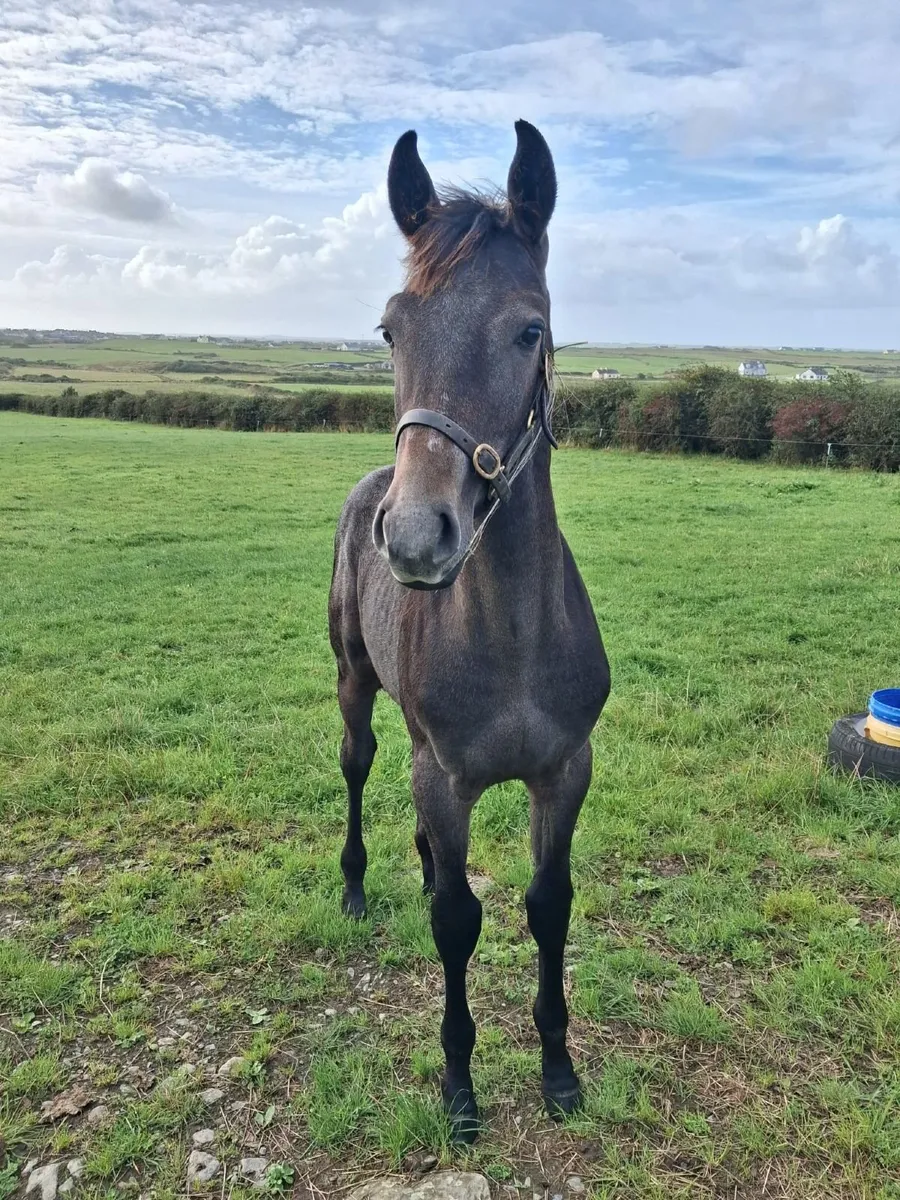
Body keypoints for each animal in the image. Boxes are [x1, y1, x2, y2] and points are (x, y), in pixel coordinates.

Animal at [328, 120, 610, 1141]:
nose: (416, 536)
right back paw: (359, 885)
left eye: (530, 330)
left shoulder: (565, 771)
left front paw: (560, 1069)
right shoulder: (445, 777)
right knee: (359, 765)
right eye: (390, 330)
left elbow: (547, 904)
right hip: (357, 688)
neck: (513, 642)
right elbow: (458, 921)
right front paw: (459, 1087)